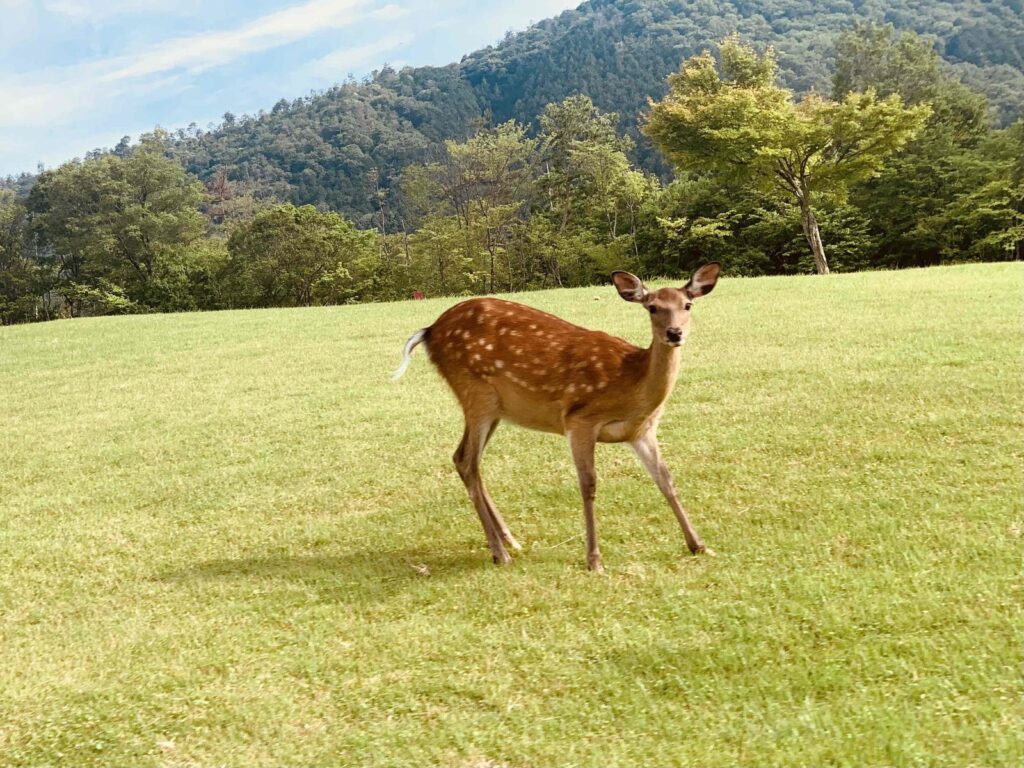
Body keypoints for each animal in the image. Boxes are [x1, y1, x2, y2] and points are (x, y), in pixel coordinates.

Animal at [391, 264, 721, 572]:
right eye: (652, 307)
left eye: (687, 305)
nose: (674, 333)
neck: (631, 384)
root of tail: (429, 330)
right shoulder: (579, 419)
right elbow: (588, 485)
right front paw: (594, 560)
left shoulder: (642, 431)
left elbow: (666, 479)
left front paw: (699, 545)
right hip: (475, 392)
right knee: (465, 460)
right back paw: (500, 553)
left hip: (493, 408)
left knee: (468, 461)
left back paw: (510, 540)